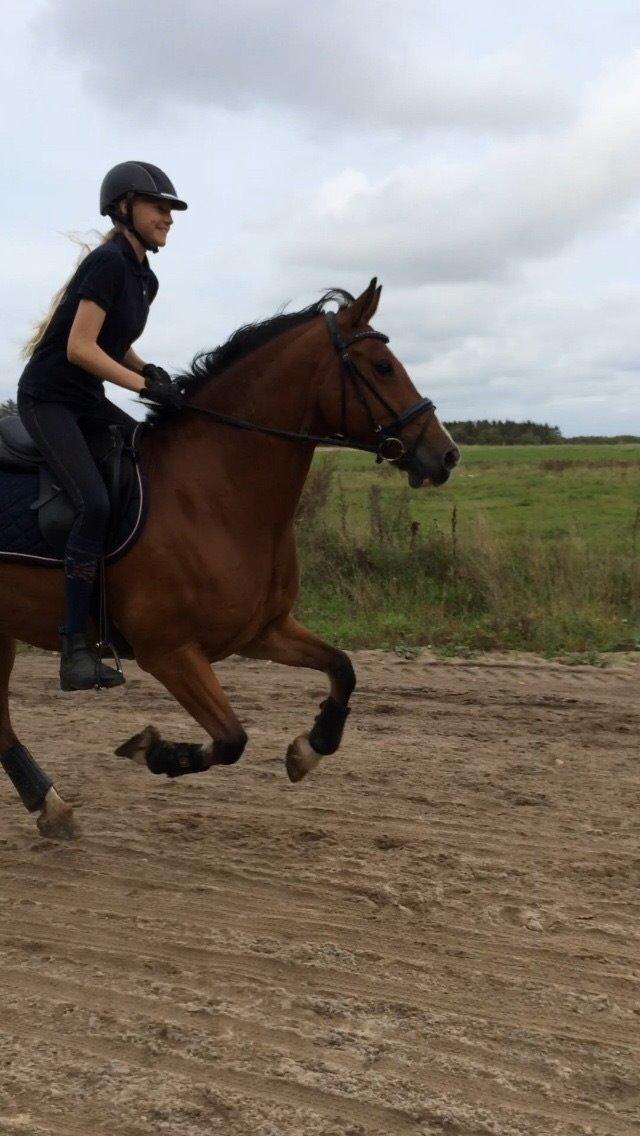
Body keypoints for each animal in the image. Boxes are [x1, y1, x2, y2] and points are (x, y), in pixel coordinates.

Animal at [0, 280, 459, 840]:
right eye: (382, 366)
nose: (447, 454)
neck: (214, 492)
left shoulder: (262, 631)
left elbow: (343, 669)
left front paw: (309, 748)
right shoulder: (169, 652)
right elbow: (231, 739)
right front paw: (153, 751)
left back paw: (52, 806)